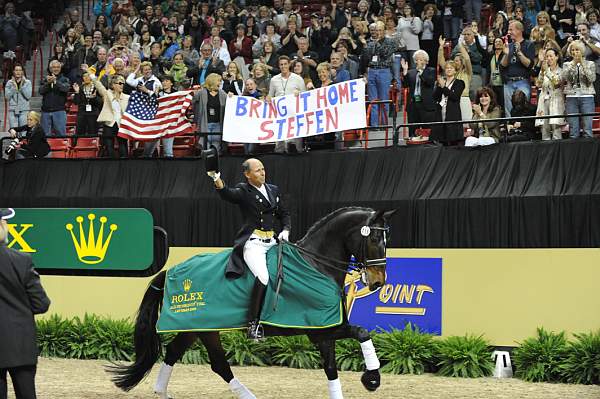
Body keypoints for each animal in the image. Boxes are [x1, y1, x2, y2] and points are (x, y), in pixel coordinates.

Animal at [109, 208, 394, 398]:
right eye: (373, 239)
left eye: (386, 241)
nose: (378, 282)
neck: (316, 264)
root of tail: (172, 269)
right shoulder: (321, 329)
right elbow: (362, 332)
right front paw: (372, 378)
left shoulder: (324, 329)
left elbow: (332, 369)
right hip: (203, 326)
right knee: (217, 363)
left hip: (198, 327)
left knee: (177, 353)